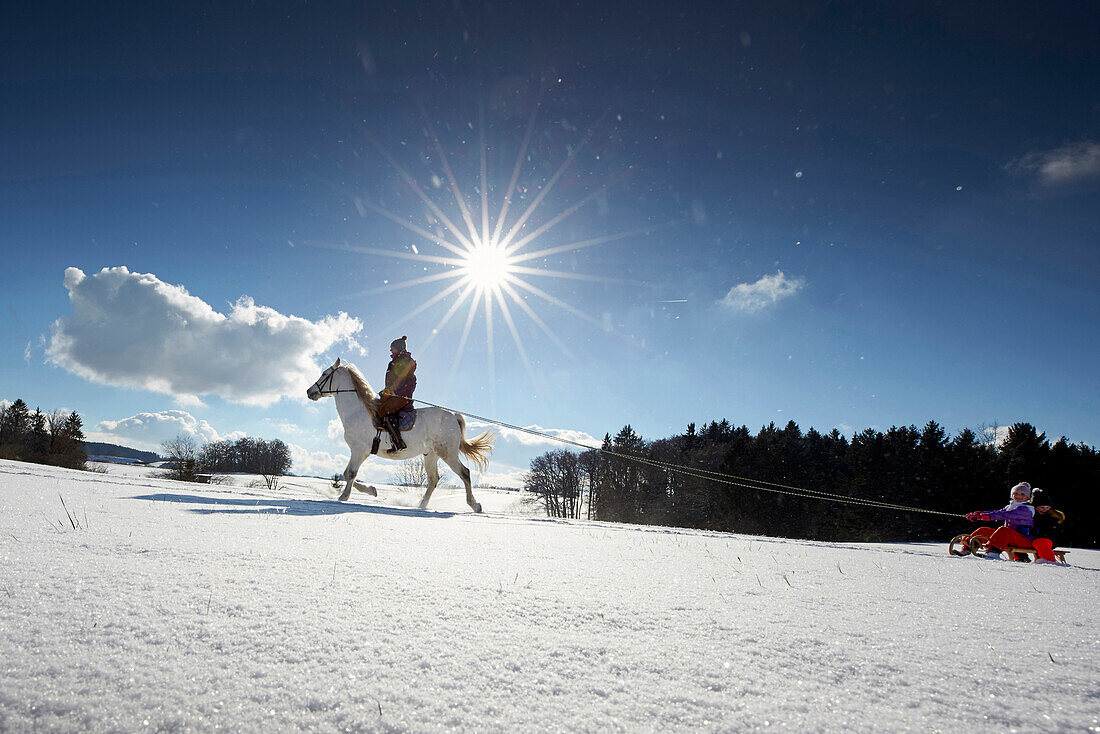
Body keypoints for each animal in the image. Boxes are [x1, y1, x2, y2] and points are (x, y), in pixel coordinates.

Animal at [305, 360, 495, 510]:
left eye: (324, 373)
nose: (309, 391)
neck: (358, 411)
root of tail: (453, 416)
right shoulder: (361, 452)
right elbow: (347, 473)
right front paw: (372, 490)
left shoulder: (359, 450)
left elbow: (350, 473)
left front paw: (343, 496)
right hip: (431, 454)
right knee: (433, 479)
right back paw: (421, 505)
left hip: (447, 453)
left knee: (464, 473)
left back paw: (474, 505)